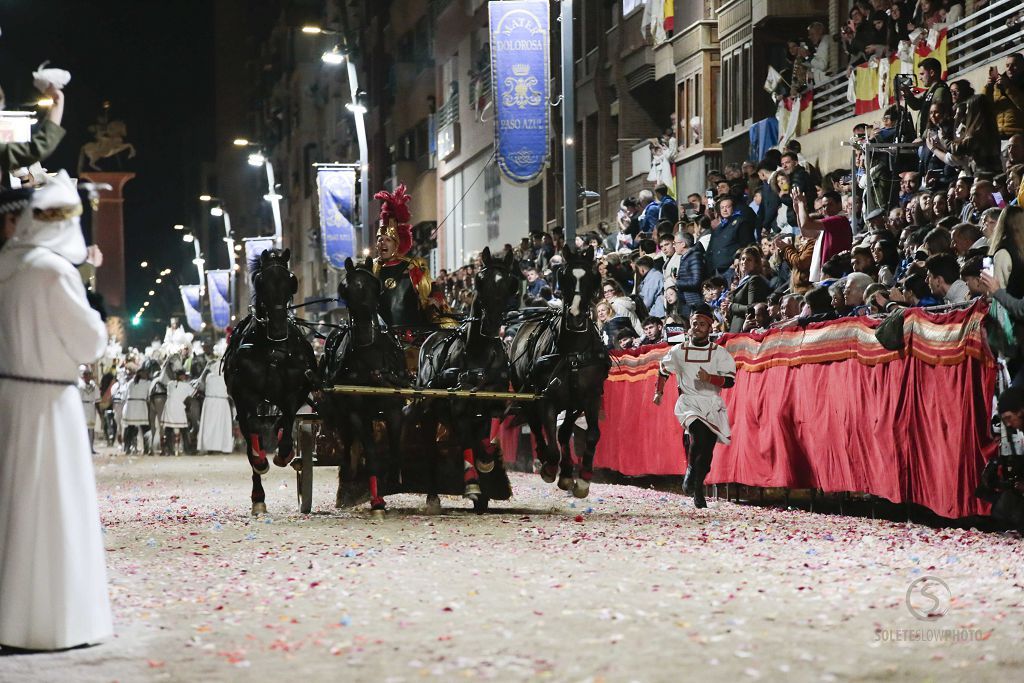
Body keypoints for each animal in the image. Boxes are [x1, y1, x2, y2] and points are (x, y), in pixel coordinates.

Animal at [224, 248, 315, 516]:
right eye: (261, 280)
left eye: (290, 280)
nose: (277, 327)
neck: (273, 348)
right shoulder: (246, 396)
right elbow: (254, 432)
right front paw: (262, 461)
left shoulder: (293, 393)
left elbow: (287, 421)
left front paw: (284, 454)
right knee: (250, 436)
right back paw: (258, 494)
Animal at [317, 259, 409, 516]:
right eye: (346, 289)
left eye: (374, 286)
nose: (367, 331)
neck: (369, 358)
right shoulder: (357, 412)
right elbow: (371, 454)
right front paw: (377, 500)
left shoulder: (394, 409)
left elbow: (395, 449)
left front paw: (394, 479)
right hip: (342, 412)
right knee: (349, 441)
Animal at [413, 245, 520, 511]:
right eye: (480, 281)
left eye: (511, 283)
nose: (491, 323)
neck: (478, 355)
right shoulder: (459, 407)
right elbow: (467, 441)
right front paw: (473, 486)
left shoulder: (490, 405)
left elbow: (483, 439)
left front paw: (486, 464)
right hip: (427, 410)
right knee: (432, 448)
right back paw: (433, 497)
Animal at [505, 244, 602, 497]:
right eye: (564, 276)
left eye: (592, 277)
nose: (576, 316)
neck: (573, 352)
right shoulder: (546, 398)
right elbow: (551, 440)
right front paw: (550, 467)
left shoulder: (588, 397)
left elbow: (588, 434)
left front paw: (581, 478)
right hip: (527, 393)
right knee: (536, 426)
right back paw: (545, 460)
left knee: (563, 432)